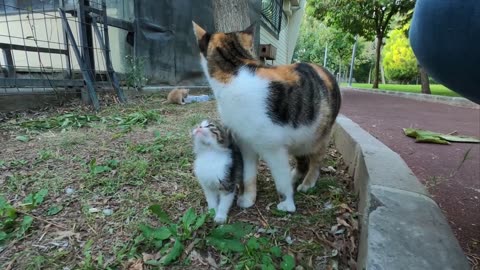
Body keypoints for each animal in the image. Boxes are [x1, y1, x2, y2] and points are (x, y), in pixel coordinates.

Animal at [191, 22, 342, 213]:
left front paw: (287, 204)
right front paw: (247, 199)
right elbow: (248, 174)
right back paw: (294, 176)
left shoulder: (274, 148)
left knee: (315, 160)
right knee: (301, 159)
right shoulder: (244, 143)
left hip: (317, 136)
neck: (236, 69)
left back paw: (307, 183)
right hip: (300, 139)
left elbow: (280, 179)